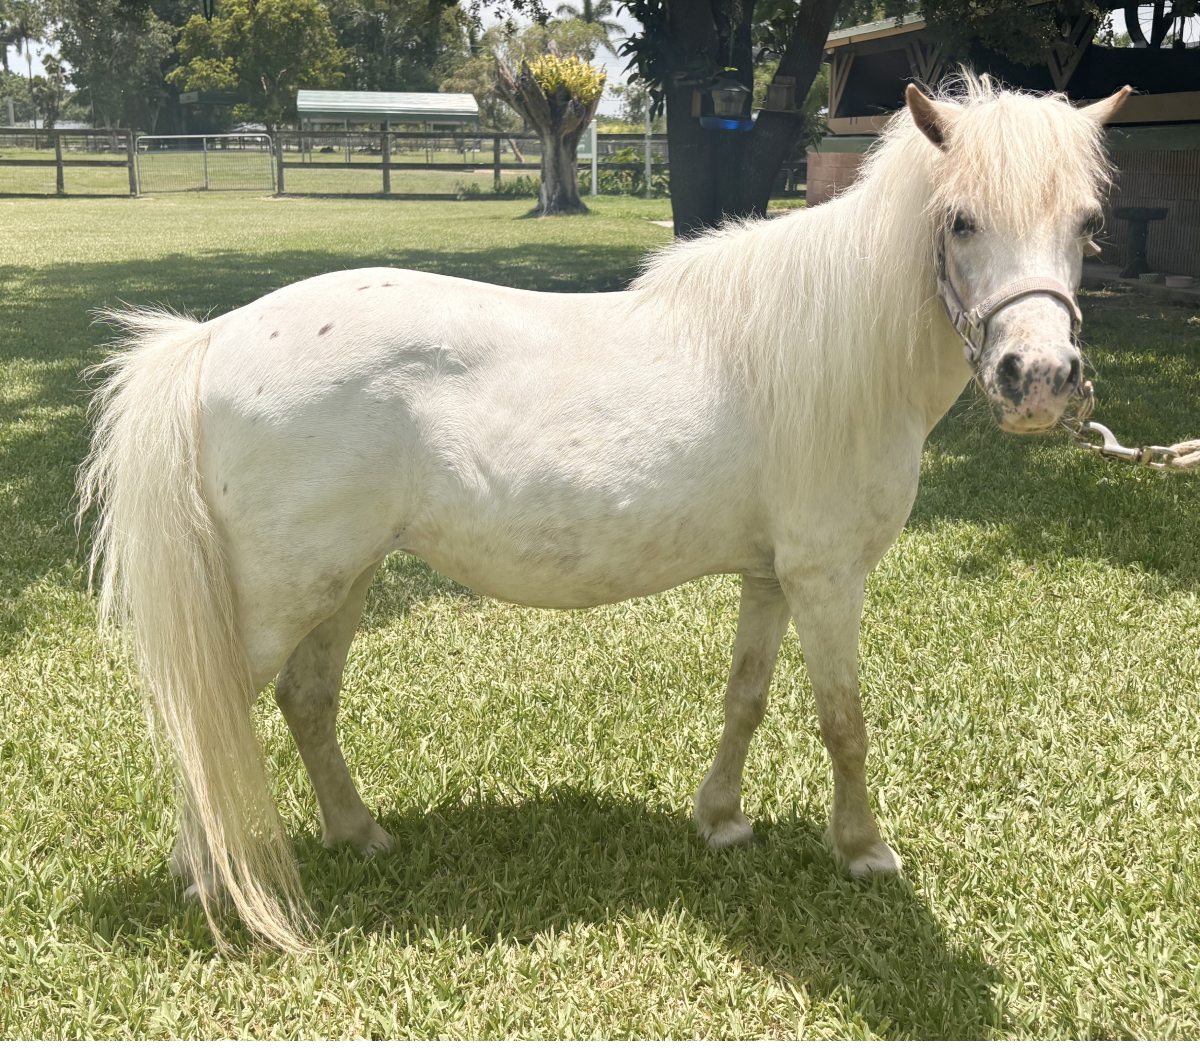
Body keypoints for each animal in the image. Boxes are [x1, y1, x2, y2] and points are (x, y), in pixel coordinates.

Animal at [79, 79, 1131, 949]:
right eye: (959, 221)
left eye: (1088, 225)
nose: (1038, 380)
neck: (833, 355)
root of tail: (215, 338)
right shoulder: (828, 577)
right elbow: (844, 721)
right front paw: (864, 850)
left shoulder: (772, 576)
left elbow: (747, 699)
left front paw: (722, 821)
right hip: (282, 595)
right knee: (212, 712)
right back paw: (206, 876)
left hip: (344, 578)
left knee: (306, 701)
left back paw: (358, 832)